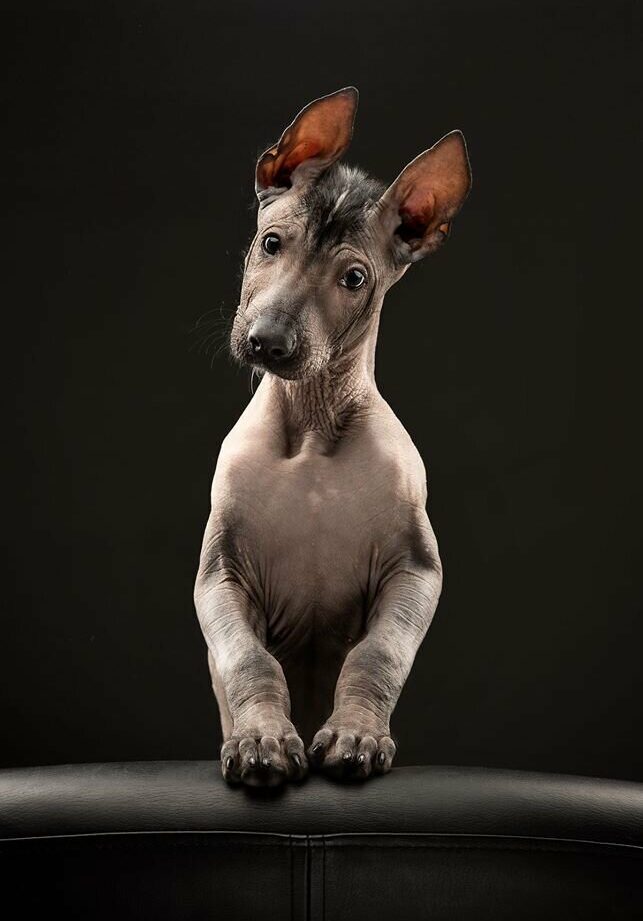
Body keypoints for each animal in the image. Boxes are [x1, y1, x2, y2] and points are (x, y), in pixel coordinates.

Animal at [194, 88, 470, 784]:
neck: (314, 424)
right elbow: (251, 662)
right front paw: (261, 739)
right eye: (271, 243)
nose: (267, 343)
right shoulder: (220, 574)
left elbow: (376, 657)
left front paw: (356, 735)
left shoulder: (415, 571)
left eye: (354, 279)